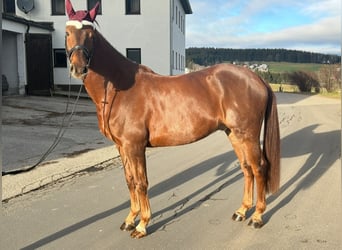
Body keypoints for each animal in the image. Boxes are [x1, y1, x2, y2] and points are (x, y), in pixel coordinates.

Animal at [65, 0, 280, 238]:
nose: (78, 67)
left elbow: (141, 183)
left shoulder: (135, 146)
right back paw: (242, 211)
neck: (119, 87)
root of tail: (255, 77)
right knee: (246, 168)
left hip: (248, 134)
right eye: (67, 32)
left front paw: (142, 225)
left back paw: (257, 216)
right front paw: (130, 220)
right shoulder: (121, 146)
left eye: (90, 34)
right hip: (234, 134)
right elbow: (130, 181)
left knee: (259, 168)